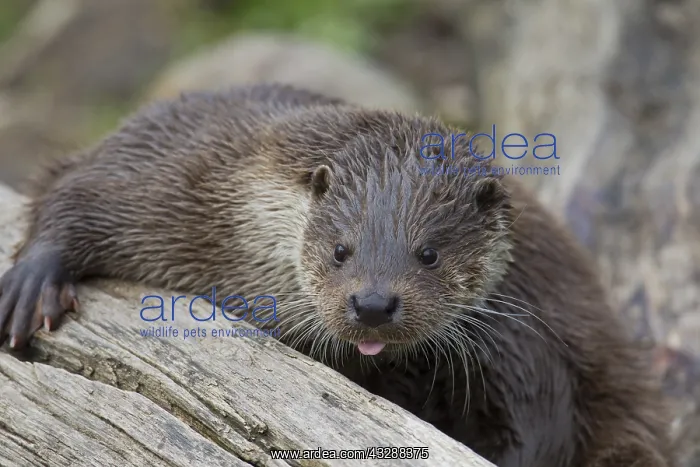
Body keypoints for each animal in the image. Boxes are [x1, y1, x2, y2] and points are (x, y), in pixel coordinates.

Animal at [0, 84, 673, 466]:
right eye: (341, 250)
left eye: (430, 254)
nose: (373, 304)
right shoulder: (167, 176)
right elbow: (78, 193)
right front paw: (32, 280)